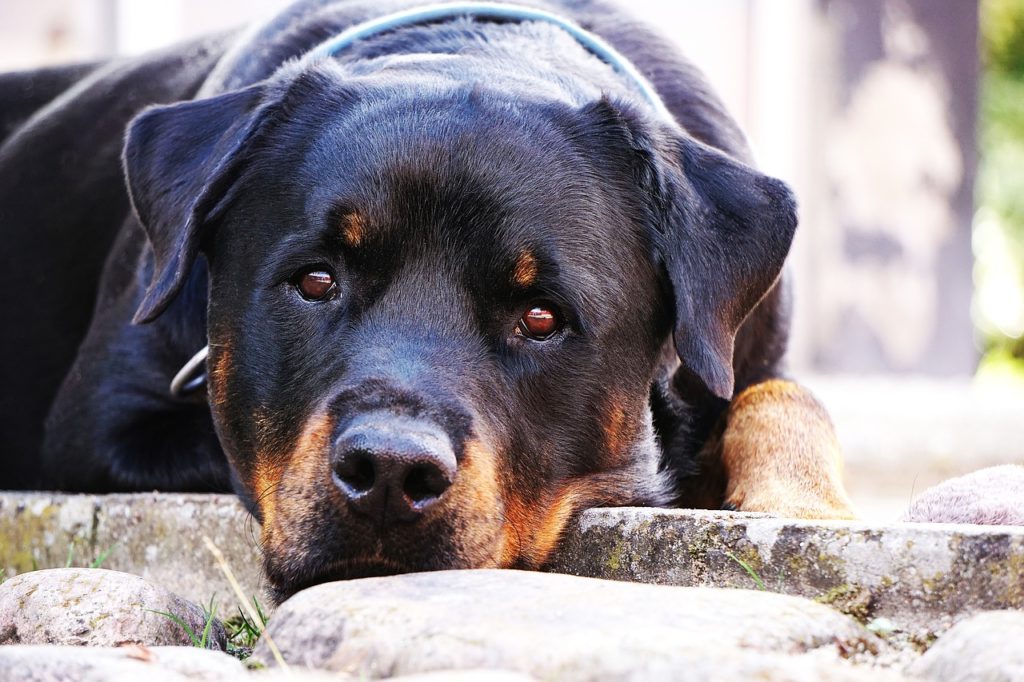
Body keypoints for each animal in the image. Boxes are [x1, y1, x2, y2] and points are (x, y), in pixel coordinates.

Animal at [0, 0, 856, 598]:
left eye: (542, 316)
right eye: (316, 280)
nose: (389, 471)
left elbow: (786, 397)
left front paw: (804, 502)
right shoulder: (108, 424)